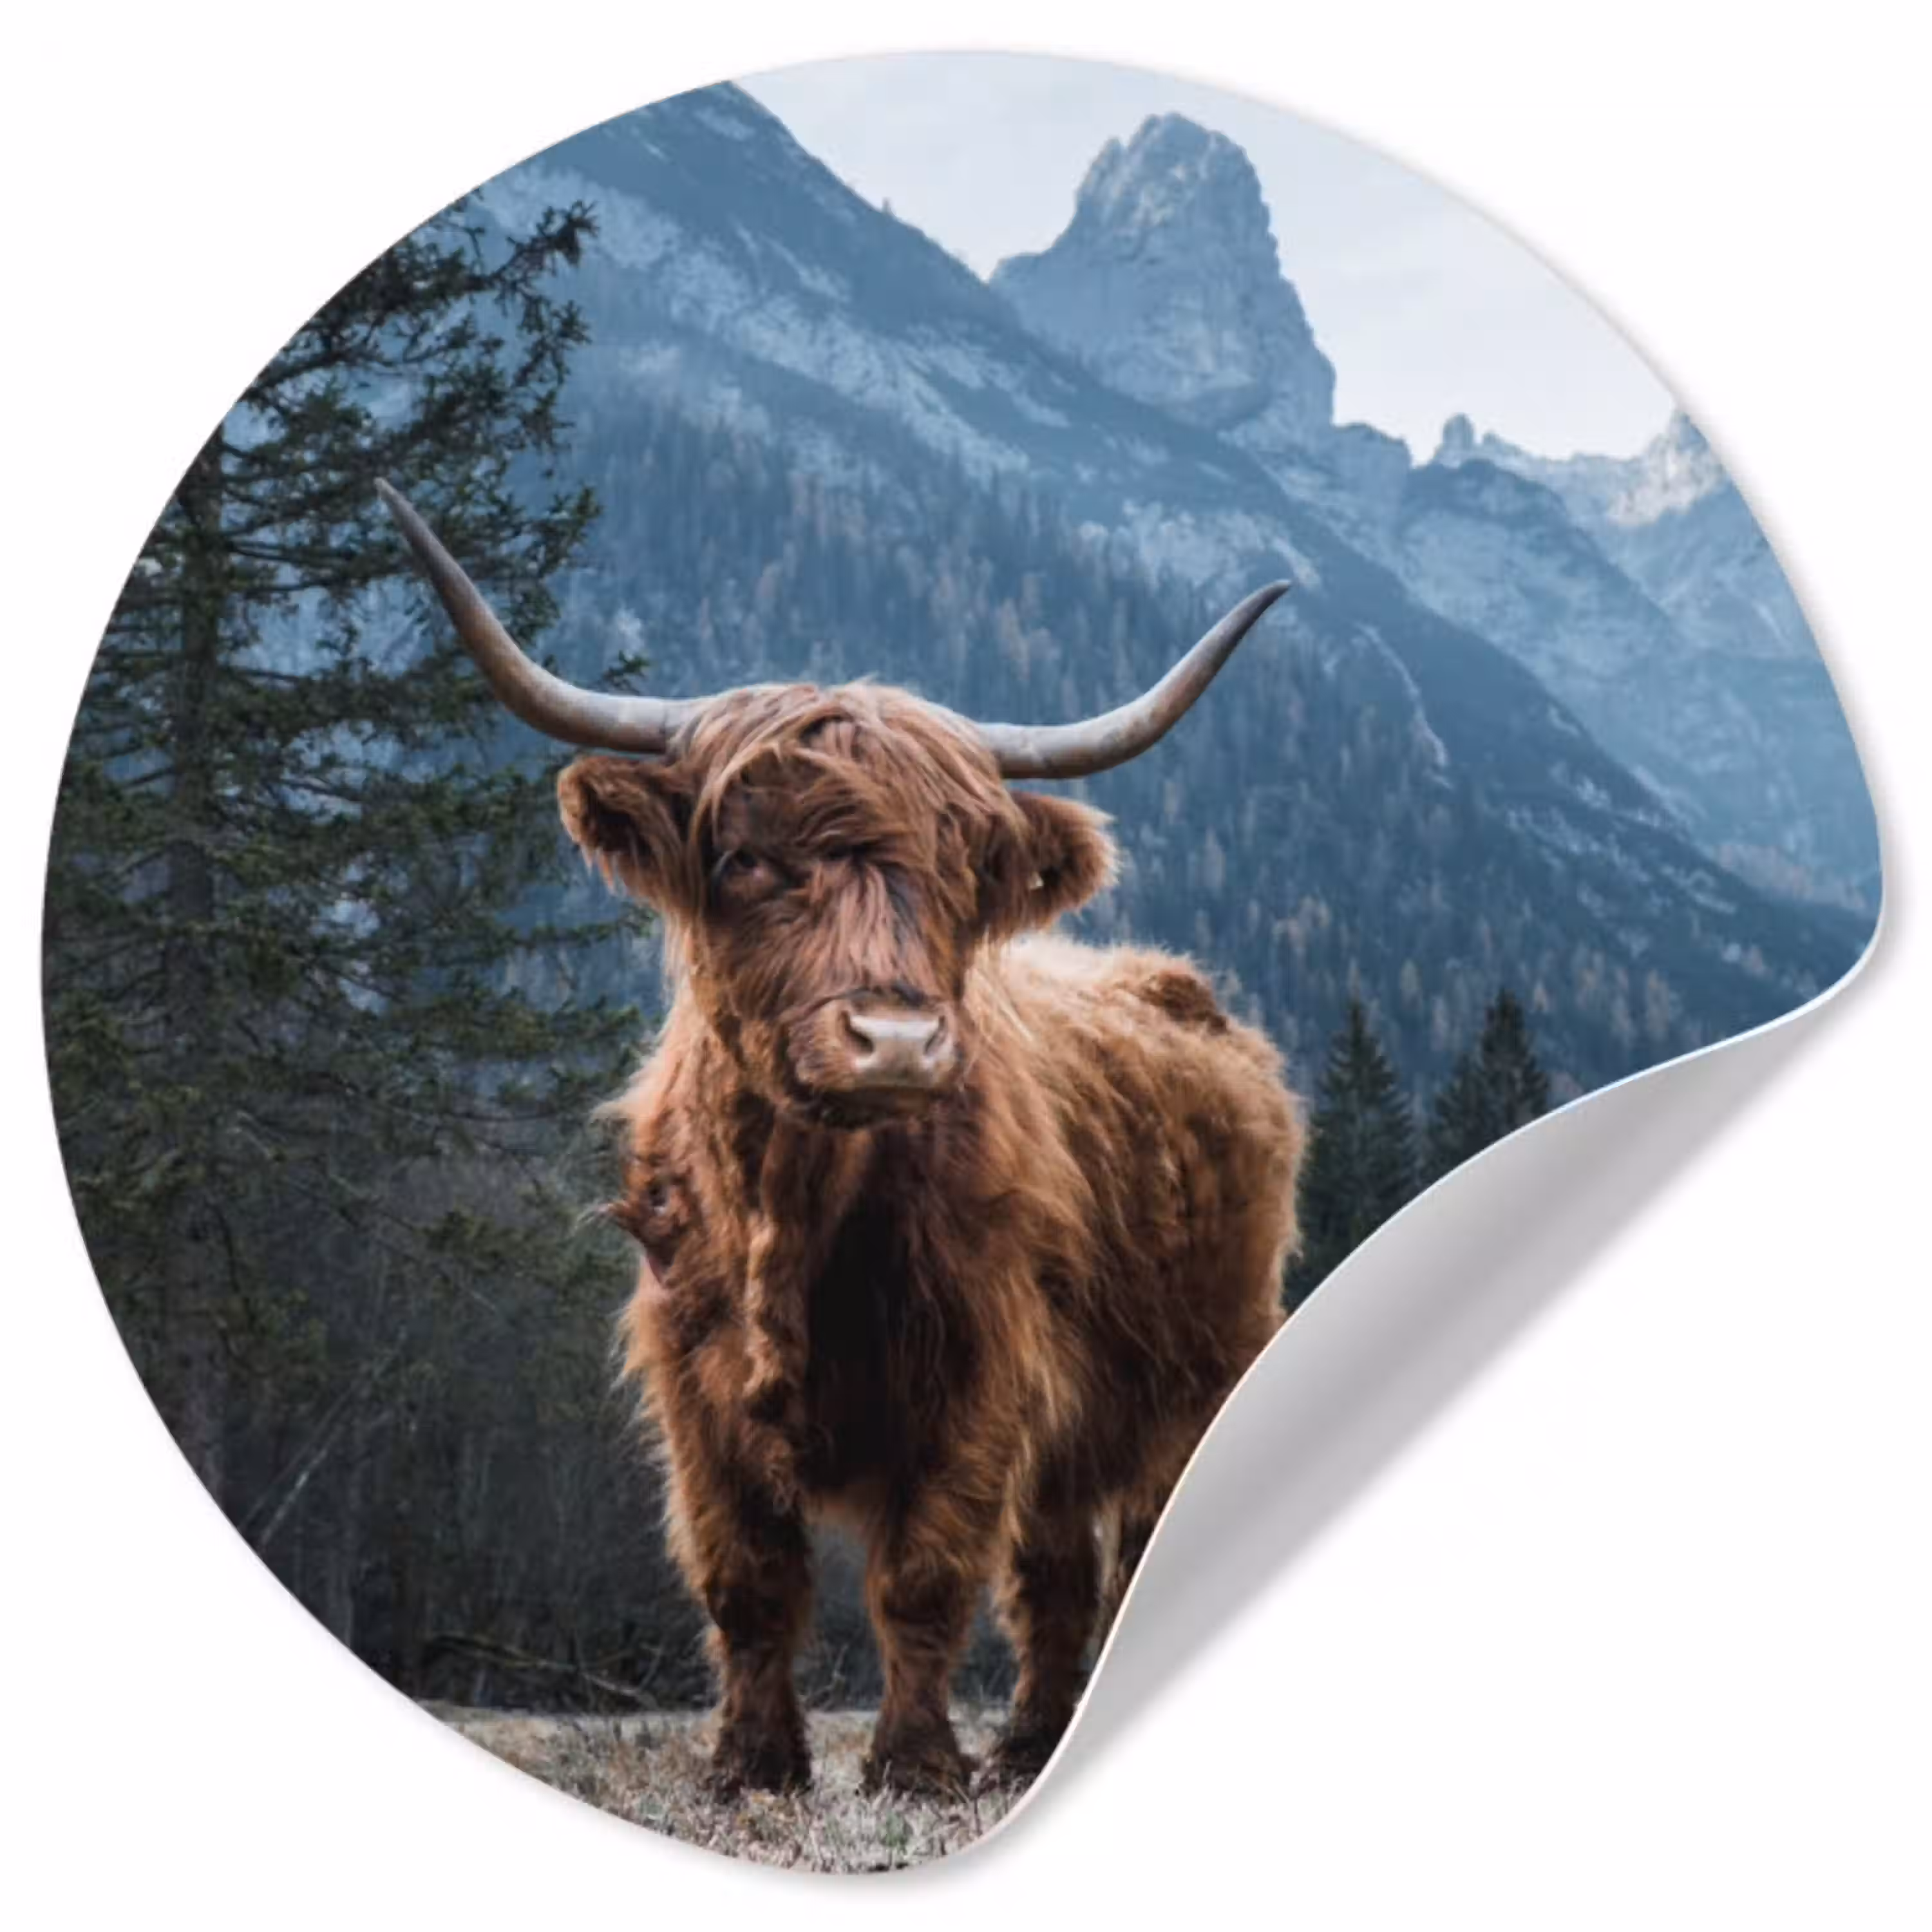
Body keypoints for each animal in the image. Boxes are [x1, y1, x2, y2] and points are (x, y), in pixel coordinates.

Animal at [379, 481, 1305, 1798]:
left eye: (963, 869)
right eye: (745, 858)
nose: (898, 1042)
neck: (795, 1212)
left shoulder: (980, 1371)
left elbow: (924, 1577)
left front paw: (912, 1765)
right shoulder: (694, 1383)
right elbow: (747, 1580)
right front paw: (752, 1764)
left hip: (1202, 1368)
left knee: (1125, 1547)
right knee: (1058, 1573)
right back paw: (1030, 1744)